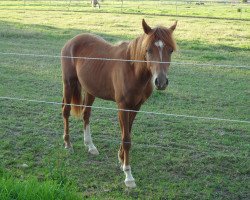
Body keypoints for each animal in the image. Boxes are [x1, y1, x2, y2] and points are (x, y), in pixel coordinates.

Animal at [61, 19, 177, 188]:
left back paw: (90, 146)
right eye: (148, 50)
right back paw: (68, 144)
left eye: (171, 50)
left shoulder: (136, 107)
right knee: (66, 111)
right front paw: (128, 175)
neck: (132, 69)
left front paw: (121, 159)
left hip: (90, 90)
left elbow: (127, 132)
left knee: (86, 115)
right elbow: (126, 138)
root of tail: (71, 41)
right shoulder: (123, 107)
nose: (161, 82)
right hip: (68, 84)